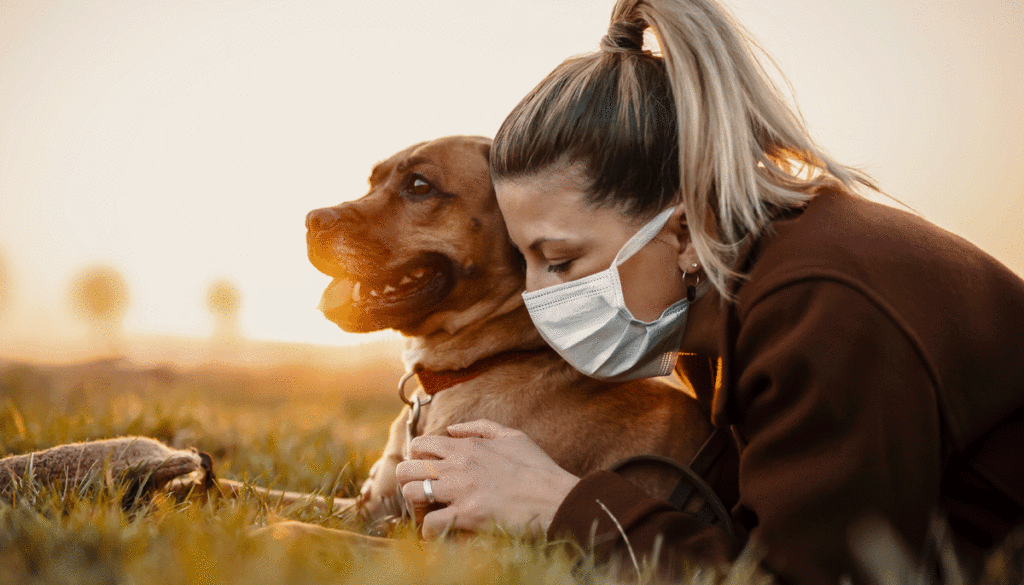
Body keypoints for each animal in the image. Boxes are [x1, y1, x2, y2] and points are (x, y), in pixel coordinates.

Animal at [303, 137, 712, 532]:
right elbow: (294, 503)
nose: (311, 220)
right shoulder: (369, 508)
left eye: (419, 186)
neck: (483, 363)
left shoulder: (452, 538)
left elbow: (306, 530)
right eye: (372, 182)